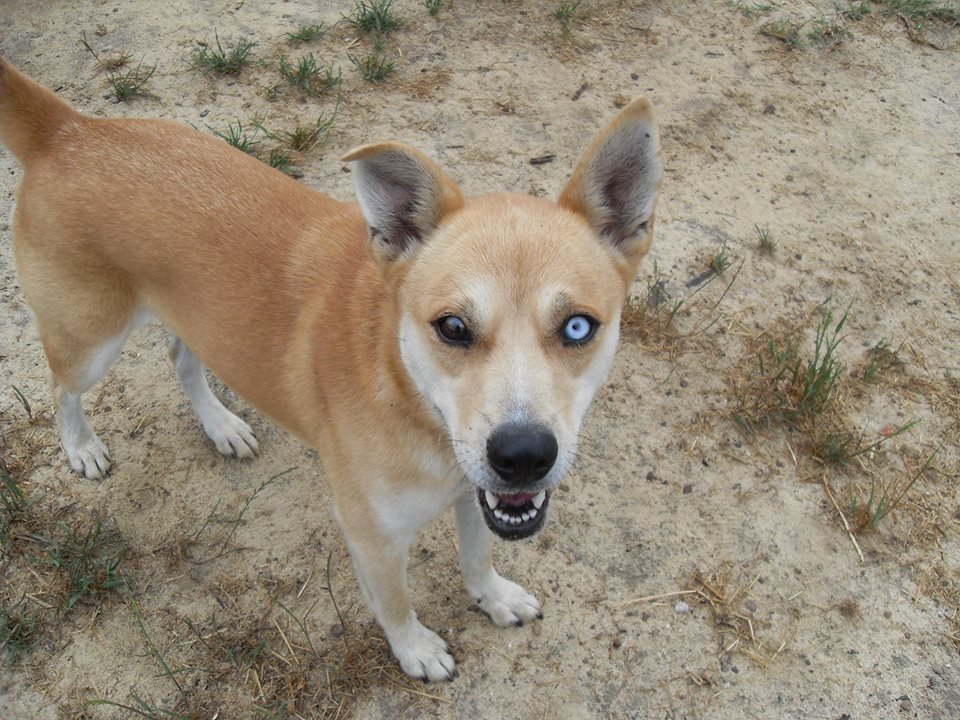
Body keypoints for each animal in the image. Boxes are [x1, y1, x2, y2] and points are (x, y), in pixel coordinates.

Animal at [0, 57, 660, 680]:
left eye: (577, 327)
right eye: (452, 327)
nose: (523, 455)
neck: (407, 396)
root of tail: (70, 127)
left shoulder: (476, 492)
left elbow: (478, 555)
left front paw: (493, 597)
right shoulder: (372, 535)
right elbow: (395, 603)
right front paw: (416, 650)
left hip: (198, 318)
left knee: (180, 357)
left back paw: (220, 426)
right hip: (90, 340)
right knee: (62, 388)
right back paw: (82, 447)